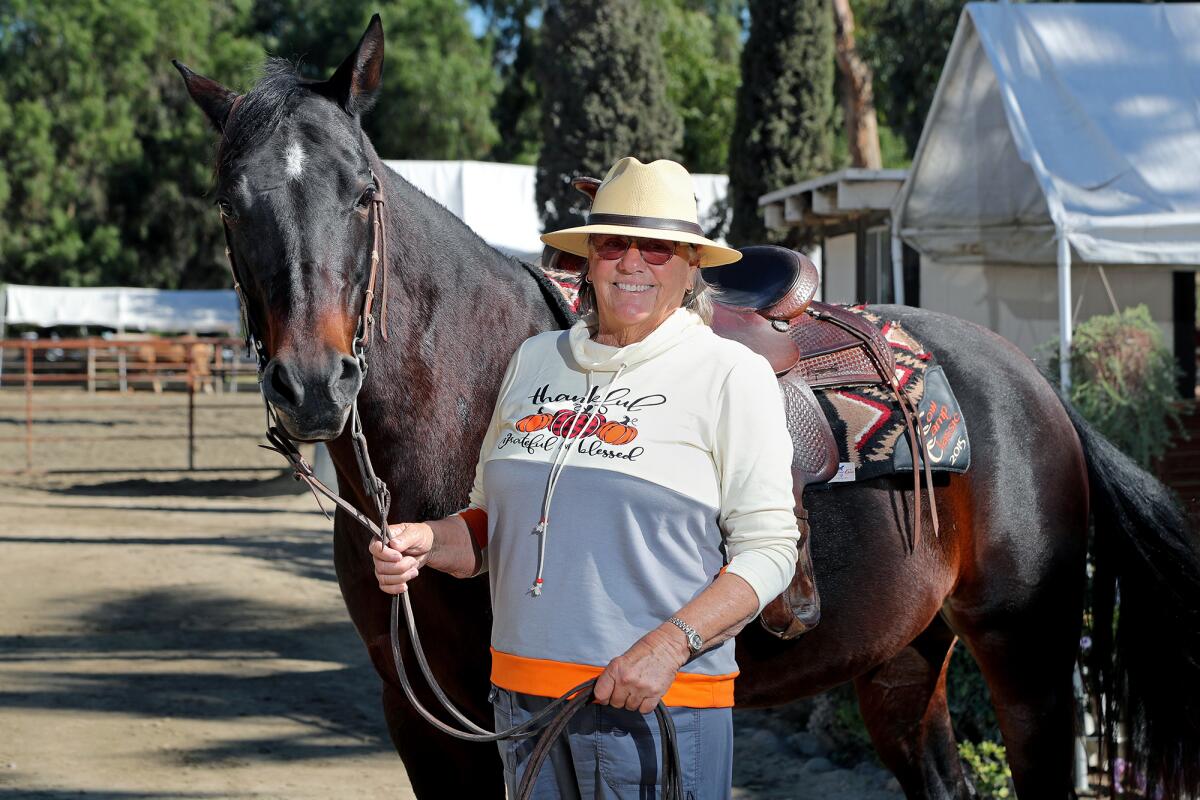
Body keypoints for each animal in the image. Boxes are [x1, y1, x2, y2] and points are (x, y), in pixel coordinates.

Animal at [177, 17, 1200, 800]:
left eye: (361, 193)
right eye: (229, 203)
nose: (314, 384)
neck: (460, 405)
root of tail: (1039, 390)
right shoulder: (421, 715)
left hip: (1029, 664)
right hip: (903, 663)